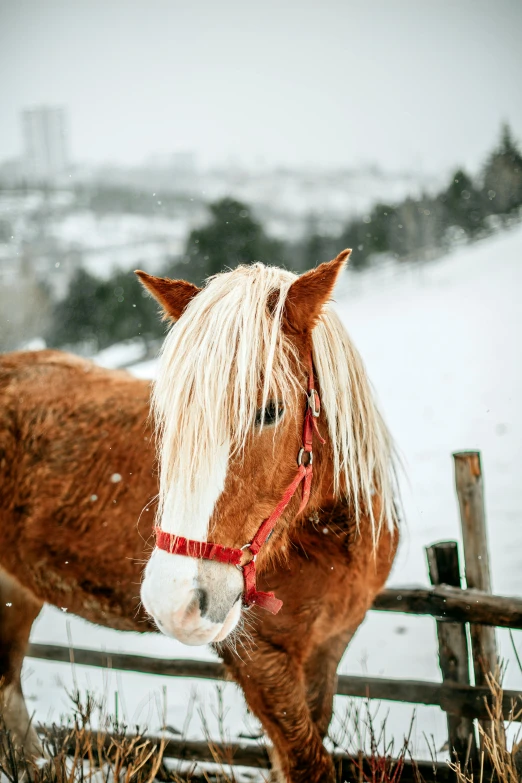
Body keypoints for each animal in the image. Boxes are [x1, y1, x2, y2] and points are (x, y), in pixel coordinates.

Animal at [0, 253, 396, 783]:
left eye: (270, 411)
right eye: (167, 418)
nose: (172, 601)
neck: (331, 539)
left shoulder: (329, 648)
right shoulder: (260, 663)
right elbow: (306, 762)